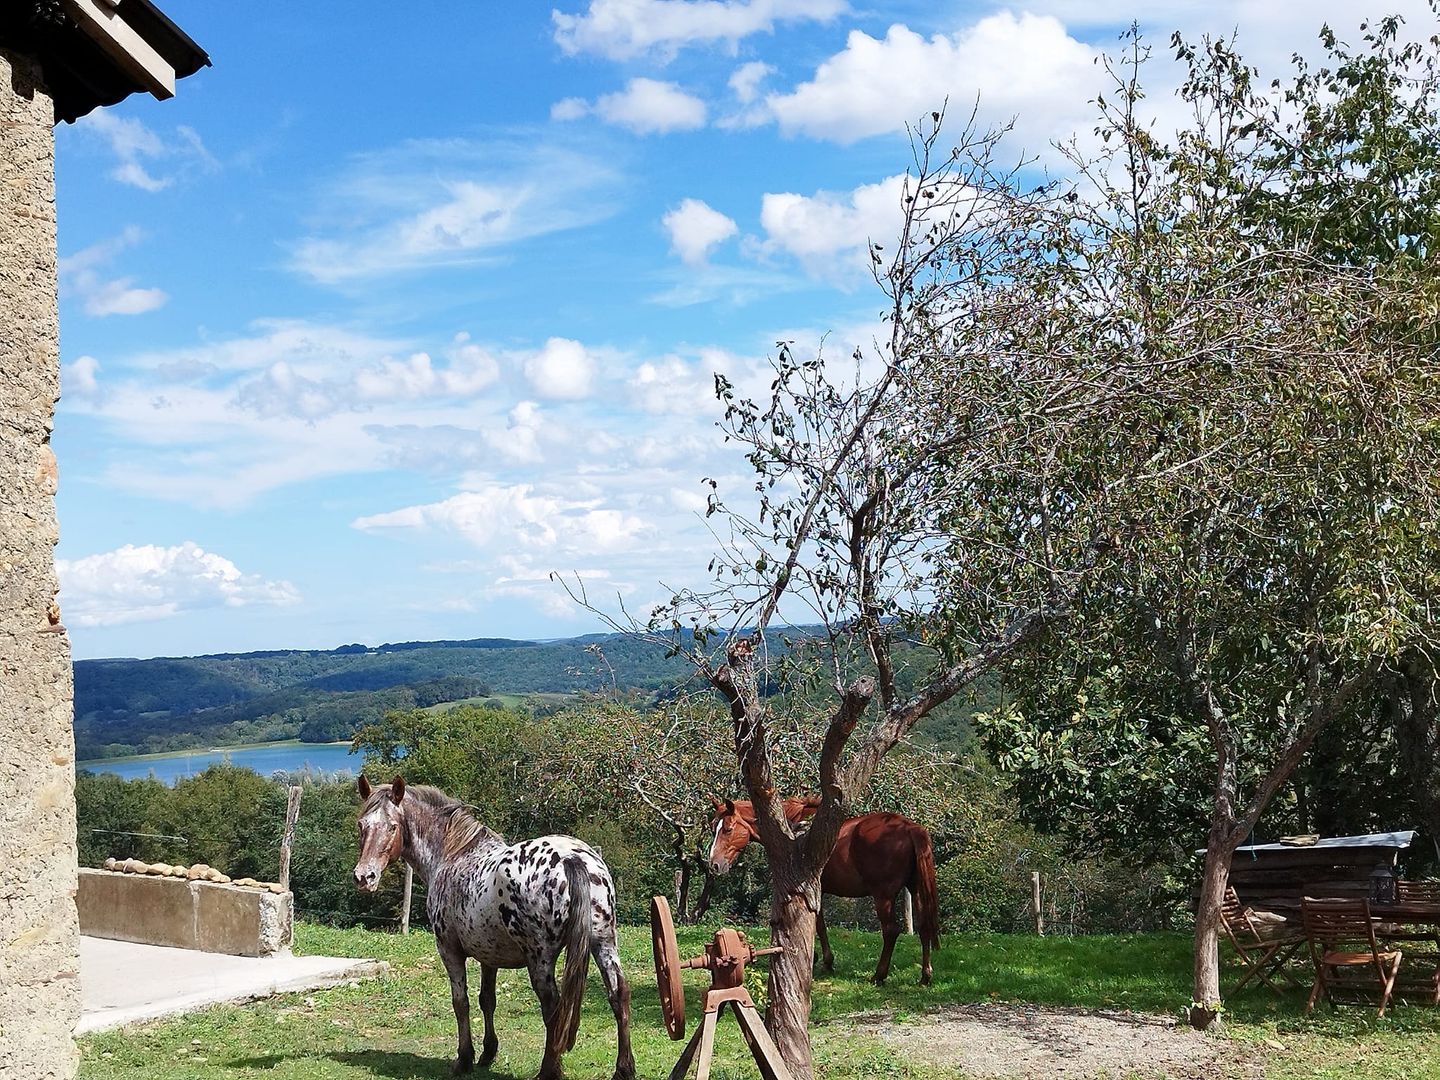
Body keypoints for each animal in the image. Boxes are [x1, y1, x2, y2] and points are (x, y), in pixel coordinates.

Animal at [354, 775, 635, 1080]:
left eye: (392, 826)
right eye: (362, 825)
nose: (364, 877)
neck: (453, 855)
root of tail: (573, 858)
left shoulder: (449, 950)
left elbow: (461, 1002)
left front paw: (464, 1059)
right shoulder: (489, 956)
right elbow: (487, 1000)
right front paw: (487, 1053)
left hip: (541, 959)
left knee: (552, 1007)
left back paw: (548, 1071)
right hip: (603, 942)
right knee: (618, 995)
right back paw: (624, 1069)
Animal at [706, 795, 939, 986]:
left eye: (727, 829)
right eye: (713, 827)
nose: (714, 864)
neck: (792, 833)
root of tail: (910, 828)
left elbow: (817, 925)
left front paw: (824, 960)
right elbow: (820, 924)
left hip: (883, 896)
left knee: (890, 930)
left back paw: (879, 975)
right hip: (915, 890)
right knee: (924, 927)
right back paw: (925, 975)